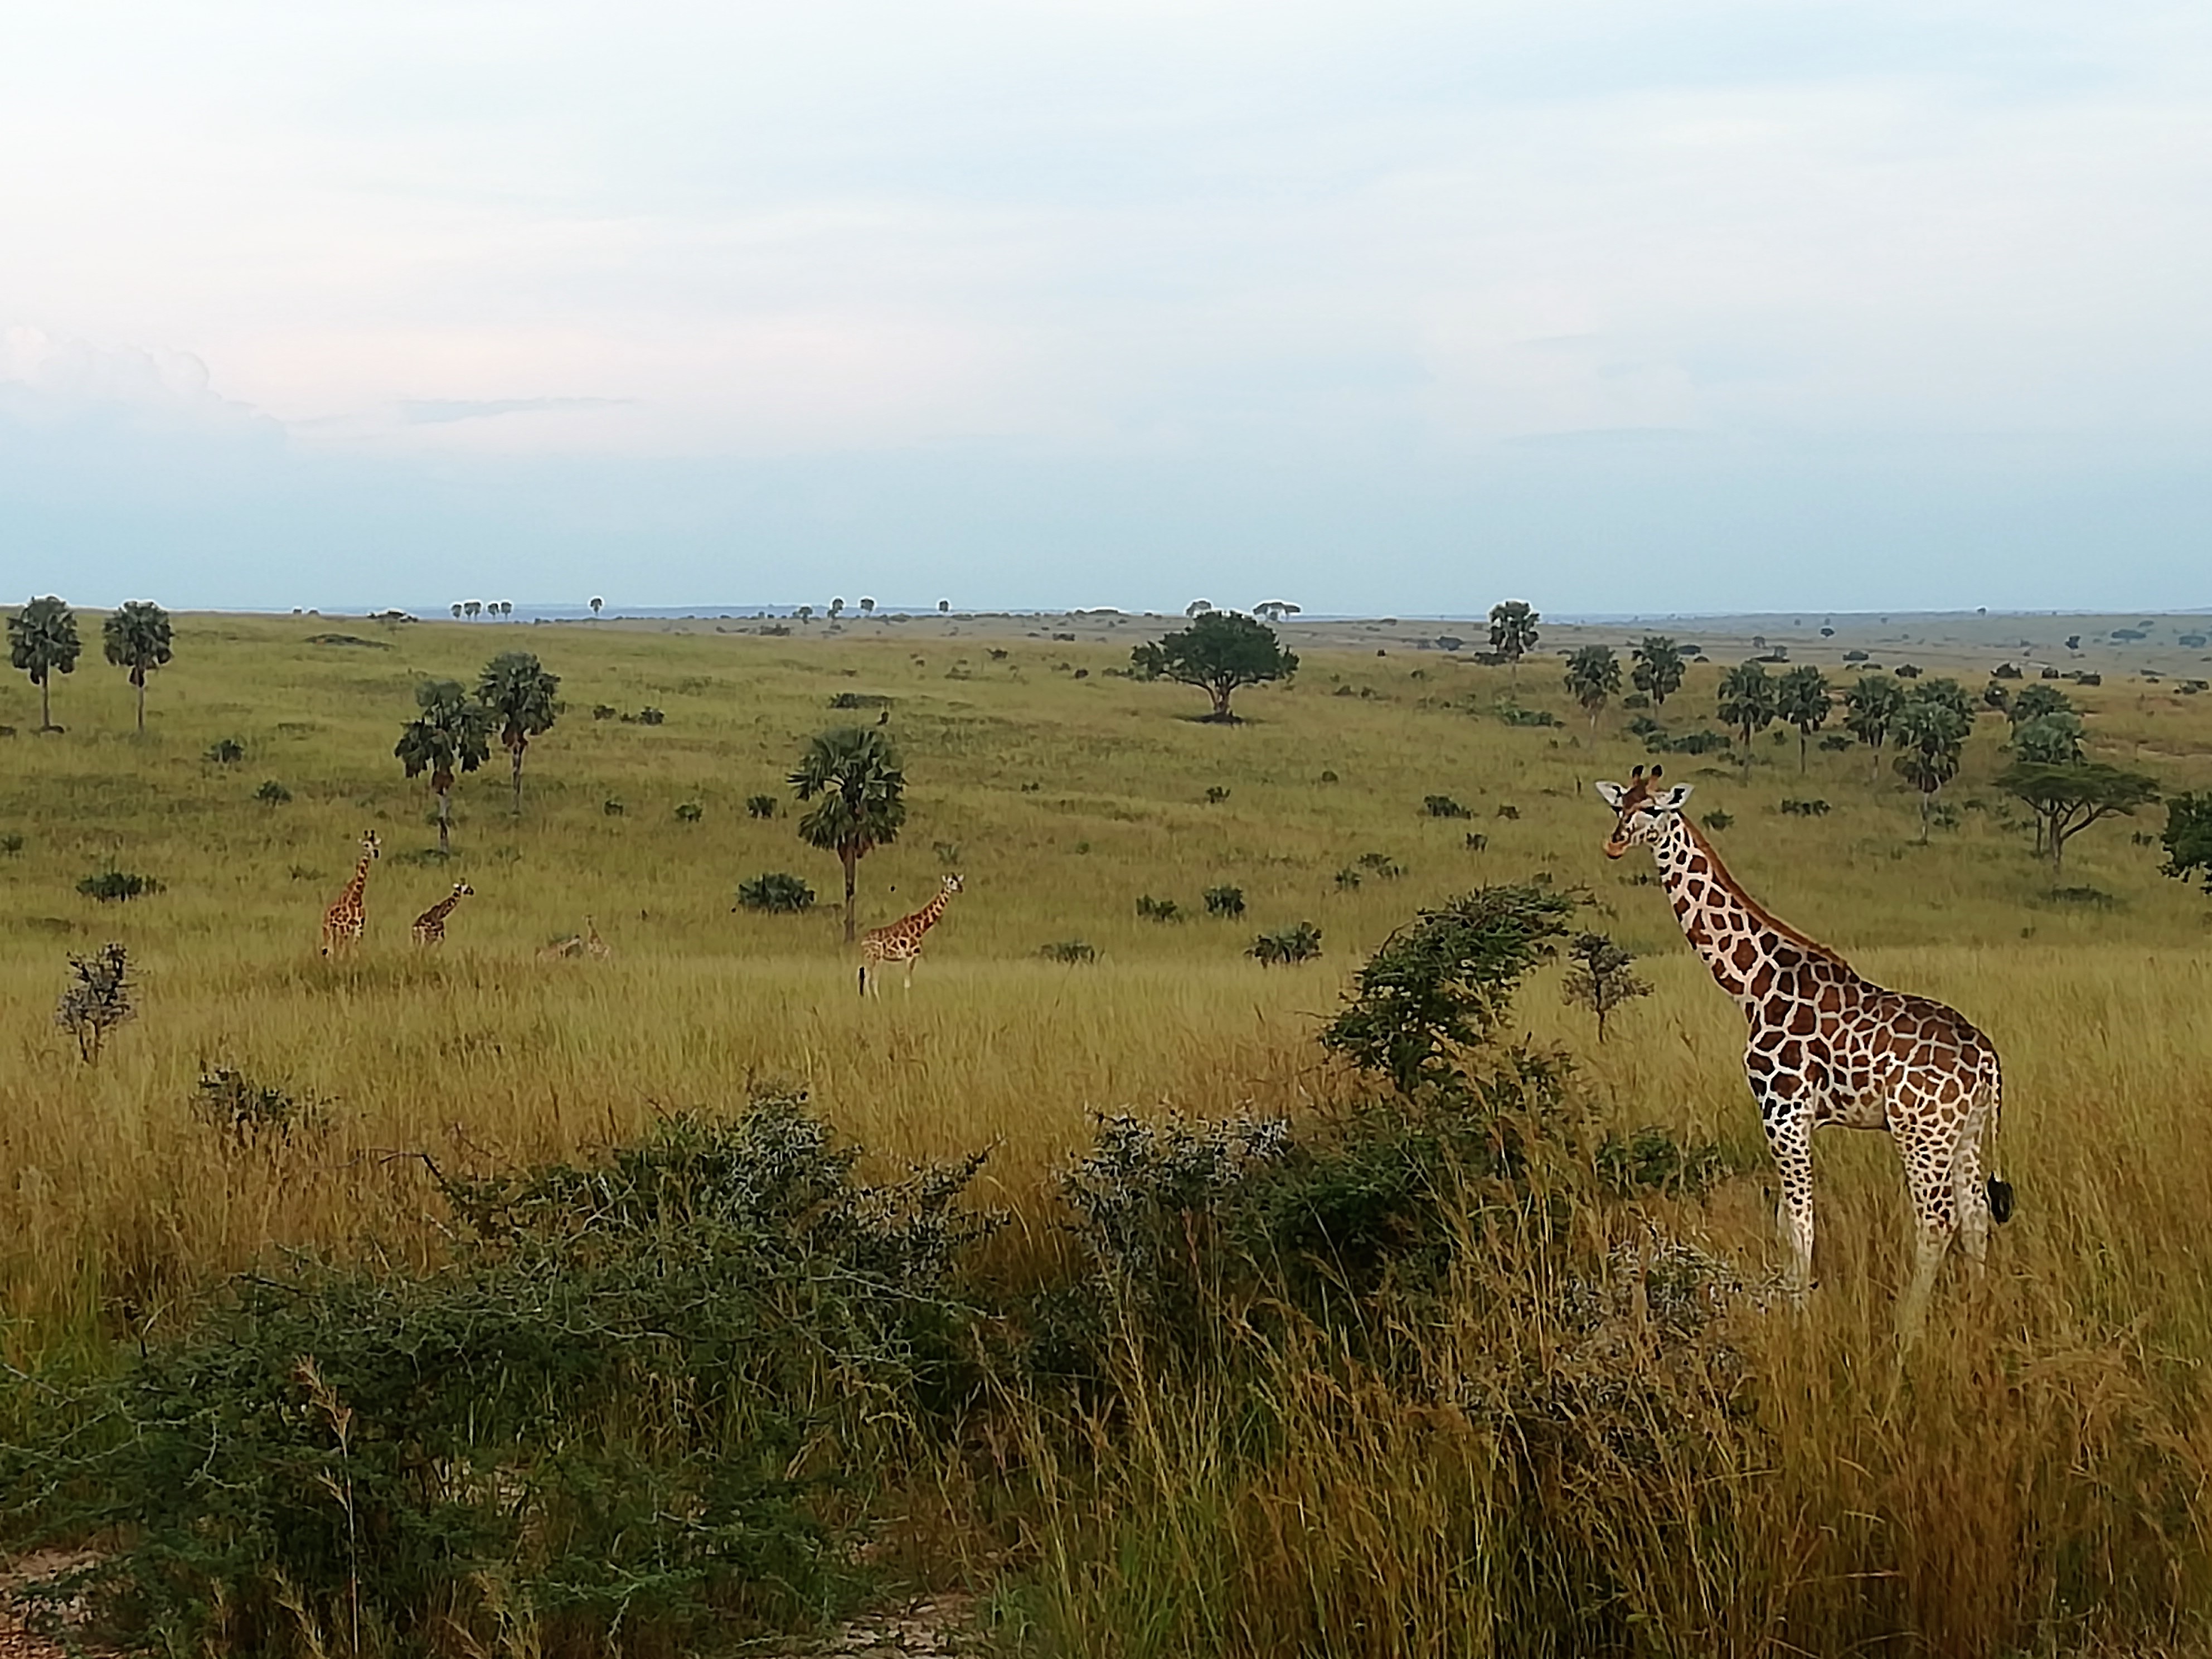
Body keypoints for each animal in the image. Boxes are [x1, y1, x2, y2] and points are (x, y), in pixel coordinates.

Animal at [318, 831, 382, 960]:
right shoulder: (345, 928)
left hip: (336, 932)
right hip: (329, 930)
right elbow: (342, 952)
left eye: (375, 844)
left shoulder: (359, 927)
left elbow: (354, 952)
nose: (376, 853)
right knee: (331, 951)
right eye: (366, 845)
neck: (356, 896)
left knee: (332, 951)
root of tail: (325, 915)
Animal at [853, 871, 960, 1000]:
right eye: (951, 882)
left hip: (876, 958)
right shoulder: (911, 955)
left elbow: (907, 982)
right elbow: (907, 983)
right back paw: (873, 1001)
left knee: (869, 977)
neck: (920, 928)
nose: (960, 889)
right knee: (869, 978)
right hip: (873, 957)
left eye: (959, 881)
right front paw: (908, 1002)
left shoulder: (912, 957)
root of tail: (863, 941)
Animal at [1601, 774, 2017, 1345]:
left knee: (1937, 1220)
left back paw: (1907, 1329)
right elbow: (1785, 1222)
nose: (1615, 842)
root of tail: (1988, 1061)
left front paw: (1798, 1320)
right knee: (1976, 1214)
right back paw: (1976, 1309)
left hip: (1921, 1131)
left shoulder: (1784, 1109)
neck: (1754, 985)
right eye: (1621, 805)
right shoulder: (1795, 1117)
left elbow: (1800, 1224)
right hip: (1966, 1132)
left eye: (1657, 810)